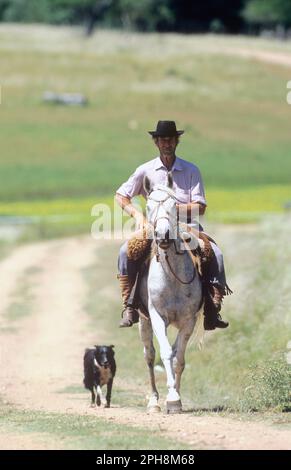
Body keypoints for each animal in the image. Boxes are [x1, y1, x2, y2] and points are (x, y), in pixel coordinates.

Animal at [139, 173, 203, 414]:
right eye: (148, 206)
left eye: (174, 205)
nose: (163, 235)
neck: (172, 277)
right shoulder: (157, 317)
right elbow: (166, 353)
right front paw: (171, 396)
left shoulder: (189, 320)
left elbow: (179, 358)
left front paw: (176, 399)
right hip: (143, 321)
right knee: (149, 356)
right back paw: (154, 401)